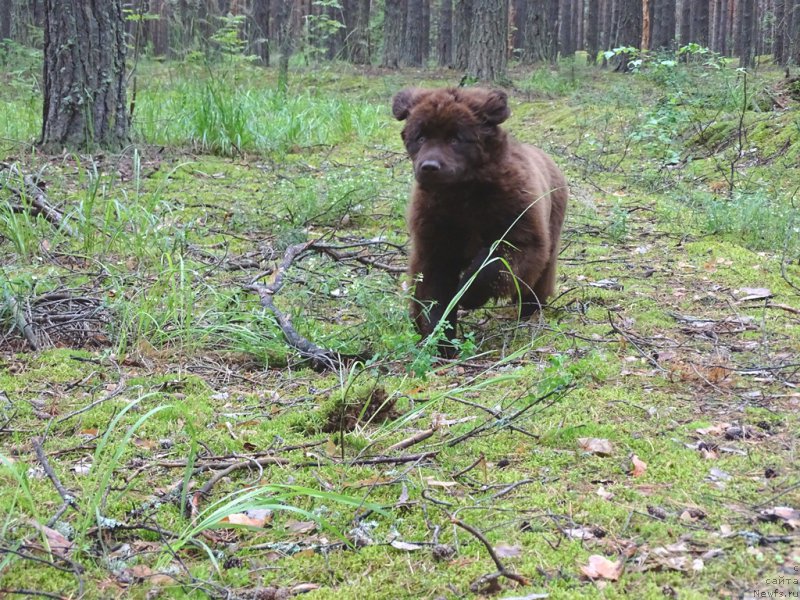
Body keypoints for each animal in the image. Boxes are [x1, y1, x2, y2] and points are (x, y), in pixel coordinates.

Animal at [394, 86, 568, 354]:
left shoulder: (519, 224)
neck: (462, 195)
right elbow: (433, 286)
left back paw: (530, 310)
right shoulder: (434, 235)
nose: (429, 167)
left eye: (455, 138)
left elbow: (495, 261)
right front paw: (440, 340)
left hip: (553, 224)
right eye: (420, 137)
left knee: (539, 277)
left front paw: (467, 294)